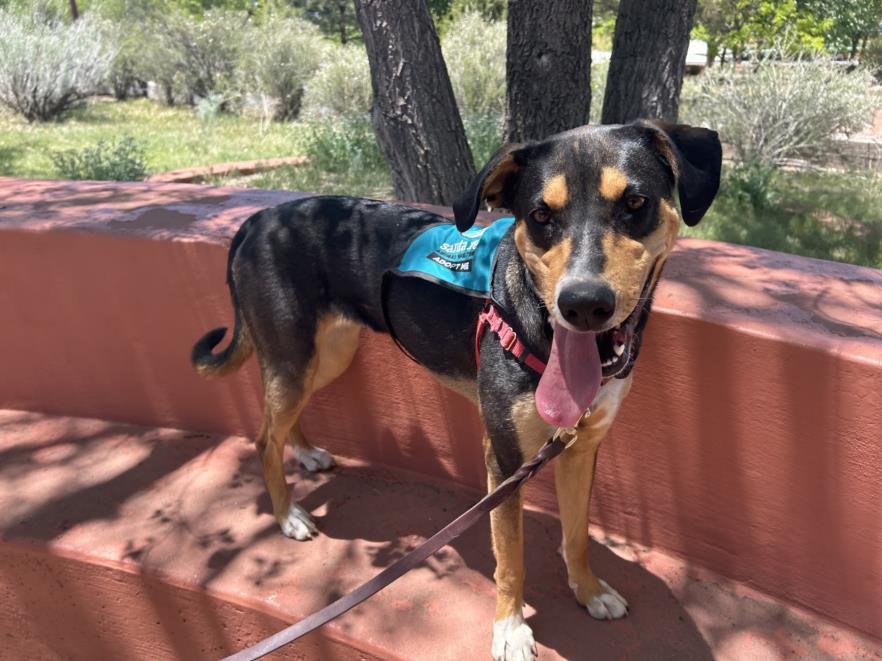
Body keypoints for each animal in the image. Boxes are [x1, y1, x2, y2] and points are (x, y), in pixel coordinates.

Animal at [191, 120, 716, 660]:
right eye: (540, 215)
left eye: (635, 202)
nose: (584, 304)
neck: (540, 329)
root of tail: (258, 220)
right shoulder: (504, 460)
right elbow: (511, 560)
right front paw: (510, 629)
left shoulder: (580, 447)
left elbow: (577, 536)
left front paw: (588, 592)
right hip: (294, 356)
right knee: (262, 437)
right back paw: (286, 515)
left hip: (327, 355)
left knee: (282, 421)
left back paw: (306, 453)